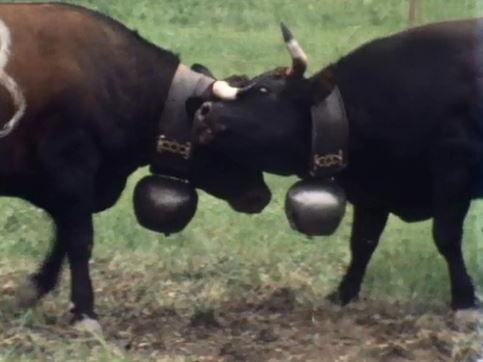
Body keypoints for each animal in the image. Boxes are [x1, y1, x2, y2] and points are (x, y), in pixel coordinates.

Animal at [0, 2, 270, 330]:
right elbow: (79, 239)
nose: (261, 195)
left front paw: (33, 290)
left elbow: (65, 235)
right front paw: (86, 312)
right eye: (225, 131)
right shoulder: (70, 168)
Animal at [193, 19, 483, 312]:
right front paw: (343, 294)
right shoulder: (373, 193)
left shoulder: (453, 171)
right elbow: (363, 243)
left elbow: (445, 236)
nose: (205, 110)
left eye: (264, 90)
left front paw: (464, 299)